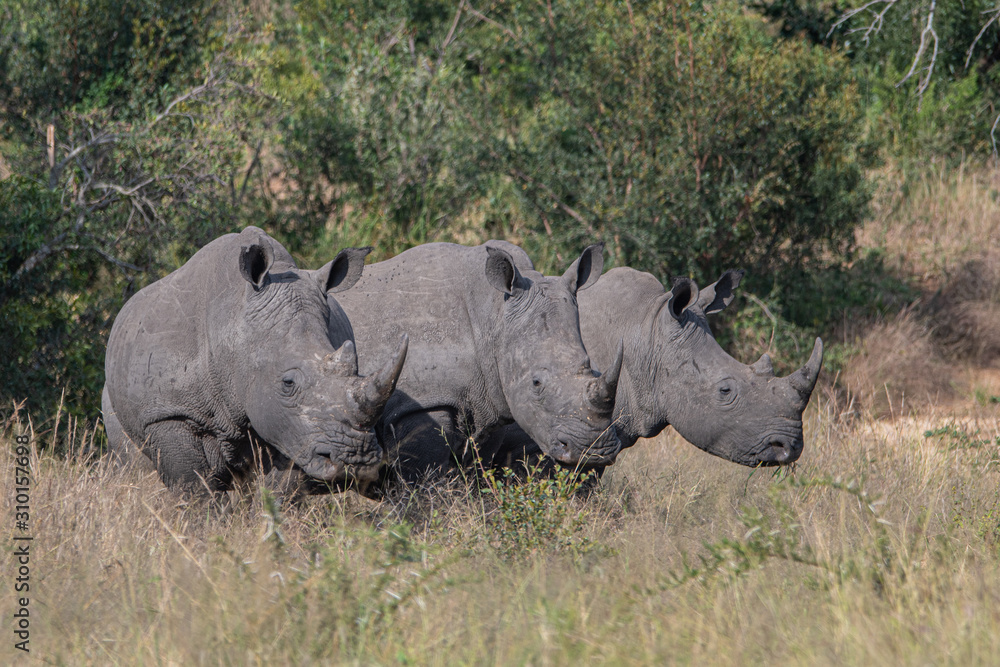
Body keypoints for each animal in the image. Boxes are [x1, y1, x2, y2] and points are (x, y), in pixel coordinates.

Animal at [101, 226, 408, 497]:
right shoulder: (169, 412)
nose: (358, 459)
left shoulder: (290, 427)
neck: (234, 331)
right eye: (288, 383)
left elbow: (278, 491)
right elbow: (195, 490)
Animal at [331, 241, 623, 484]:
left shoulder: (489, 401)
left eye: (591, 368)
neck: (493, 316)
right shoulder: (422, 401)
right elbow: (422, 480)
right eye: (536, 383)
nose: (593, 449)